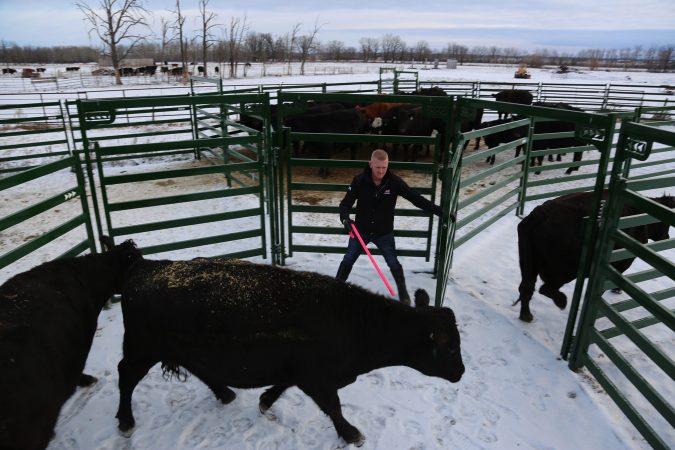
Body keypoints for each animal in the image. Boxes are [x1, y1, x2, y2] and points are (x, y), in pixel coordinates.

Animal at [114, 257, 465, 447]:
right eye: (449, 346)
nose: (461, 372)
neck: (353, 320)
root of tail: (146, 267)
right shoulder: (318, 378)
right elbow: (333, 407)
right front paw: (351, 433)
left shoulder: (297, 370)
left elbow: (282, 386)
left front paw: (265, 401)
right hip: (141, 348)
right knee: (125, 376)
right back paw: (126, 420)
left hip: (181, 348)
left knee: (199, 368)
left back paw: (225, 393)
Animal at [515, 191, 674, 322]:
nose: (666, 237)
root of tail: (540, 214)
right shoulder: (622, 262)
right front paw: (616, 289)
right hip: (563, 270)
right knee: (546, 288)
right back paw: (561, 302)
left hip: (529, 262)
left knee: (527, 287)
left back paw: (526, 316)